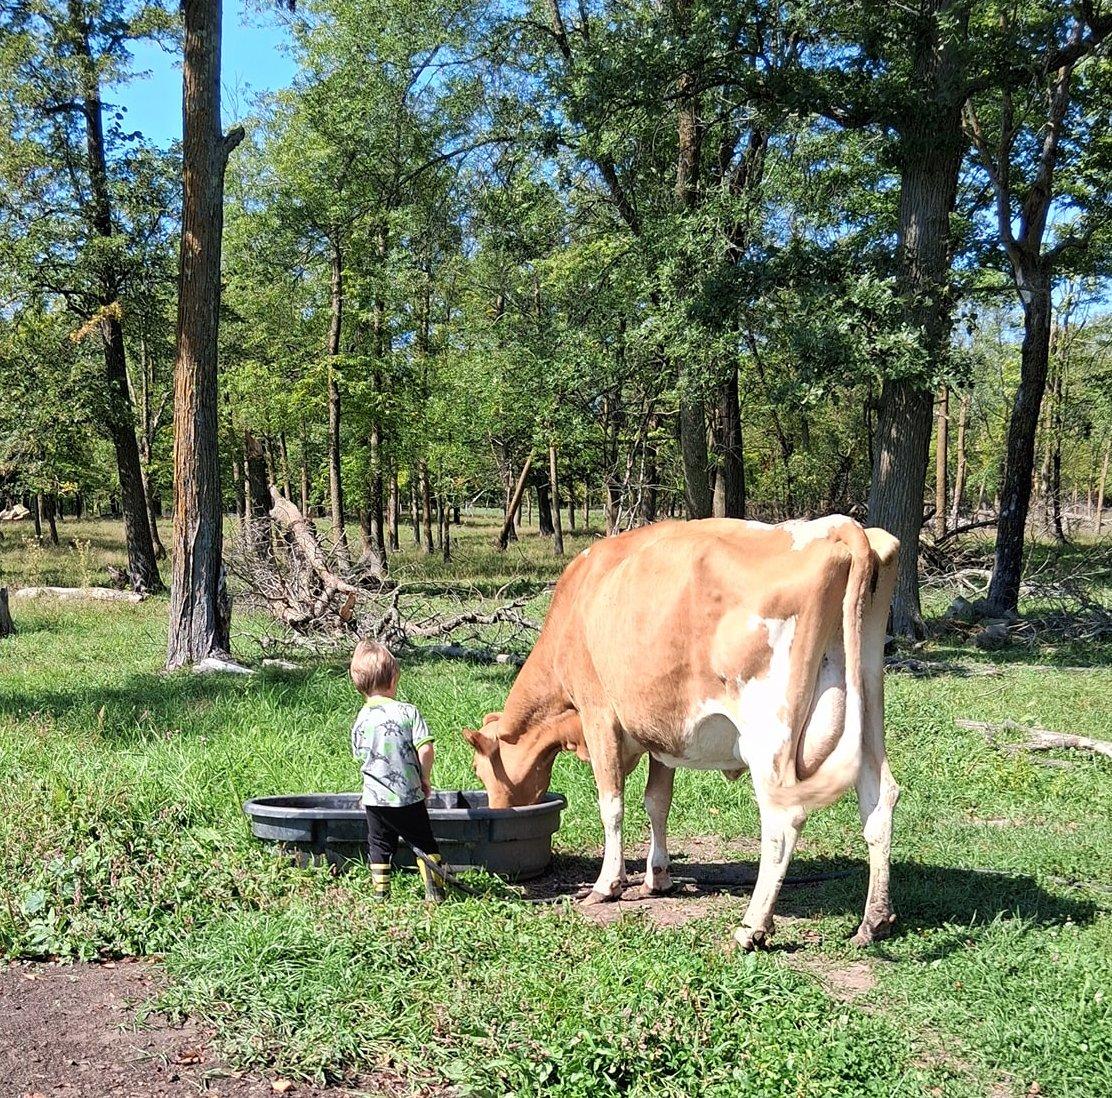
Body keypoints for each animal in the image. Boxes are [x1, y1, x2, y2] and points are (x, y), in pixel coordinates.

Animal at [463, 516, 900, 950]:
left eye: (480, 770)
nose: (498, 812)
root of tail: (837, 527)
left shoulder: (598, 713)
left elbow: (612, 803)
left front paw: (607, 884)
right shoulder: (664, 733)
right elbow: (657, 802)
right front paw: (657, 878)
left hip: (768, 735)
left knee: (783, 818)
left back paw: (751, 927)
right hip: (867, 712)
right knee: (880, 798)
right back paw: (874, 921)